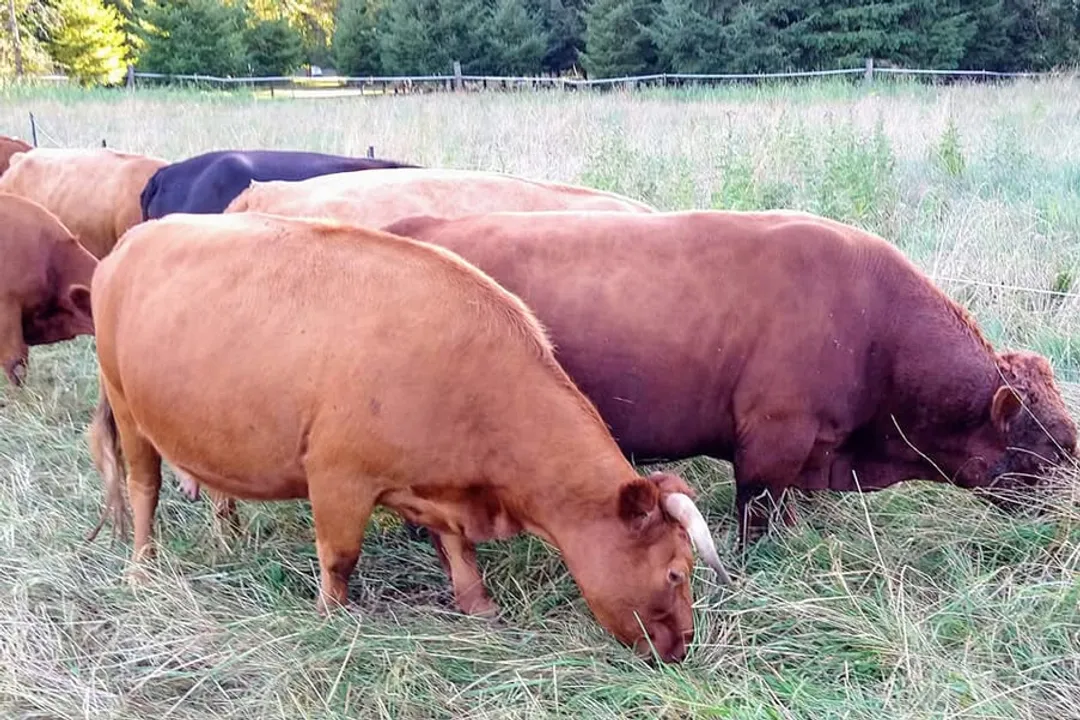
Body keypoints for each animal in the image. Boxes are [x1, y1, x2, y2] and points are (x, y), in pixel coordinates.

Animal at [80, 211, 730, 663]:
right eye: (676, 573)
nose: (683, 646)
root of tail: (130, 241)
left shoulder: (439, 487)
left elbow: (458, 551)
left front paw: (480, 609)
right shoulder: (337, 477)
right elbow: (339, 558)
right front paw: (331, 618)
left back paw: (226, 537)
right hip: (126, 406)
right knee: (143, 489)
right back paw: (141, 568)